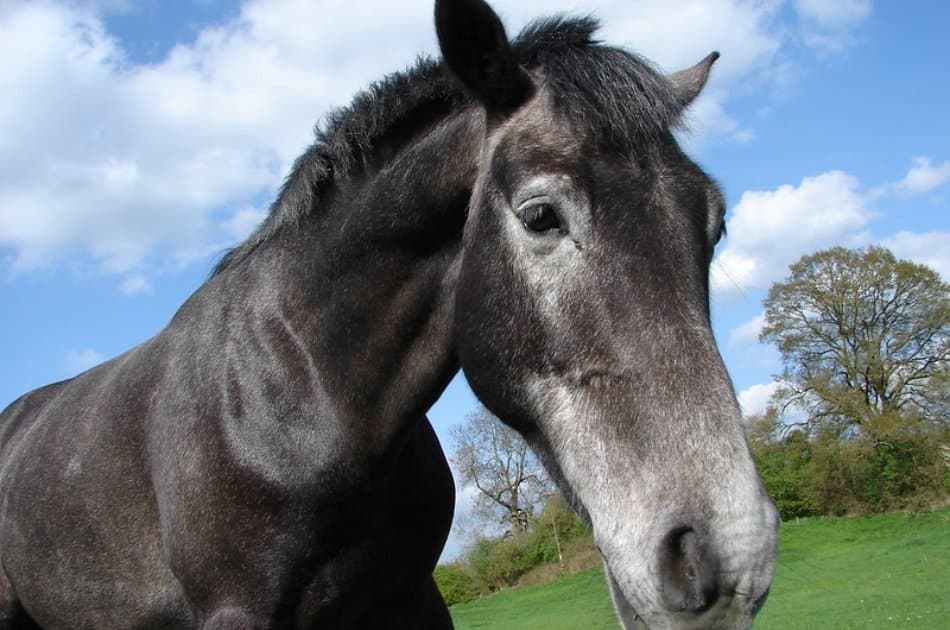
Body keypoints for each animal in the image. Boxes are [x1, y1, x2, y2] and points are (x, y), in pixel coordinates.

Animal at [0, 1, 778, 628]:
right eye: (540, 215)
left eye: (714, 222)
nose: (724, 555)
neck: (304, 394)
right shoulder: (236, 611)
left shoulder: (411, 597)